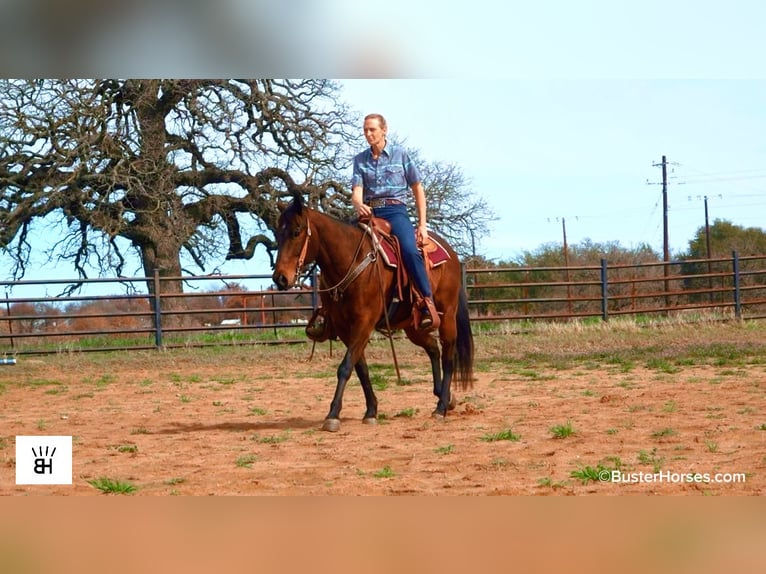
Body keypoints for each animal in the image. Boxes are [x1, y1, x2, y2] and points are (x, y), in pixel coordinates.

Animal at [272, 192, 474, 432]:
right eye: (277, 233)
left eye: (296, 232)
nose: (280, 278)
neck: (351, 261)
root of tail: (451, 253)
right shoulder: (345, 329)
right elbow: (360, 368)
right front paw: (371, 411)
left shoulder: (364, 323)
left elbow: (345, 367)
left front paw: (333, 415)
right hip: (412, 325)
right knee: (433, 348)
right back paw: (445, 397)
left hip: (447, 316)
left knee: (448, 355)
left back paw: (441, 407)